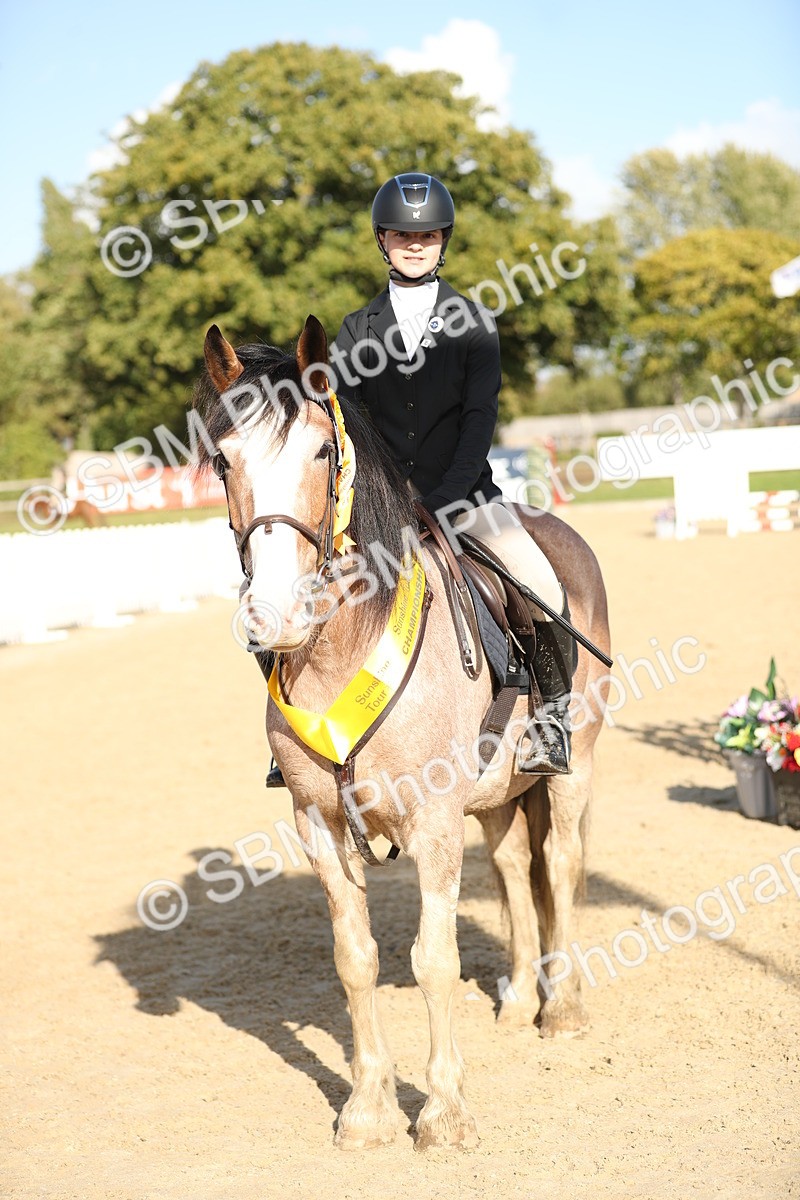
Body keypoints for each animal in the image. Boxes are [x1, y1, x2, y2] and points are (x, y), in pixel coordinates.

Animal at [194, 316, 611, 1151]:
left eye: (323, 451)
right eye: (224, 461)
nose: (274, 616)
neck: (340, 648)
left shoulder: (434, 822)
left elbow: (434, 958)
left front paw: (444, 1114)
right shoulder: (319, 824)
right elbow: (355, 959)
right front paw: (369, 1110)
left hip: (573, 765)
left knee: (560, 863)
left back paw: (563, 1007)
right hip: (497, 794)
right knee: (515, 866)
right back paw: (522, 1000)